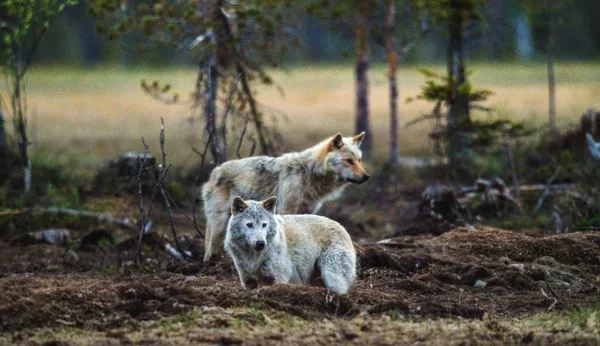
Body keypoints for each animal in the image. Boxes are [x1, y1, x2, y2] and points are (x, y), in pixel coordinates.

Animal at [204, 133, 368, 262]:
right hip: (220, 223)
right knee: (211, 247)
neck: (309, 172)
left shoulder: (308, 211)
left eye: (359, 160)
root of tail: (214, 172)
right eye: (349, 161)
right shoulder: (287, 209)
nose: (366, 176)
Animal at [224, 196, 356, 294]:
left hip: (330, 274)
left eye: (264, 225)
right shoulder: (248, 280)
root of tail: (343, 228)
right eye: (249, 225)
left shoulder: (278, 279)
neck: (254, 257)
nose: (261, 243)